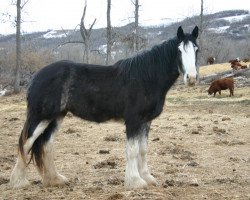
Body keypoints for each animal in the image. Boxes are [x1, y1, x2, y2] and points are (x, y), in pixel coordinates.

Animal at [9, 25, 199, 190]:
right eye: (179, 50)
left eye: (196, 50)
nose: (191, 78)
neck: (146, 78)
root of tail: (36, 76)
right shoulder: (133, 121)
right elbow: (132, 150)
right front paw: (135, 181)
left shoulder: (146, 122)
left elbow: (143, 150)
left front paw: (147, 178)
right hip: (40, 117)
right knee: (25, 143)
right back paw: (18, 182)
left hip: (56, 117)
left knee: (47, 145)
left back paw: (55, 180)